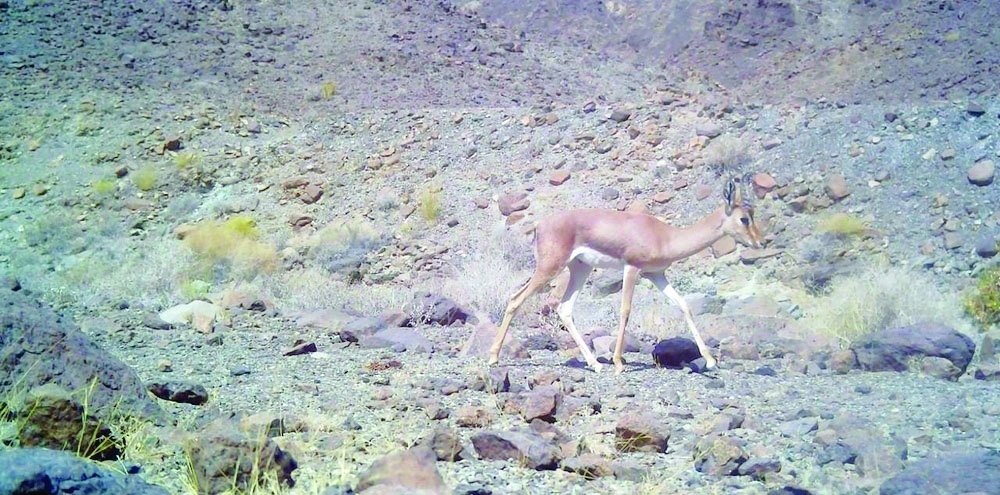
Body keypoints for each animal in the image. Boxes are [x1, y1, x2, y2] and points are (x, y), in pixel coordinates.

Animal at [489, 176, 763, 374]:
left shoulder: (656, 275)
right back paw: (493, 357)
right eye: (744, 219)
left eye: (752, 216)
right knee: (516, 299)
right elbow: (625, 310)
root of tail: (540, 224)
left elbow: (684, 305)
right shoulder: (632, 268)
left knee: (564, 308)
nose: (760, 242)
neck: (666, 237)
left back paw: (595, 364)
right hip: (549, 269)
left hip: (580, 268)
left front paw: (710, 360)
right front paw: (619, 362)